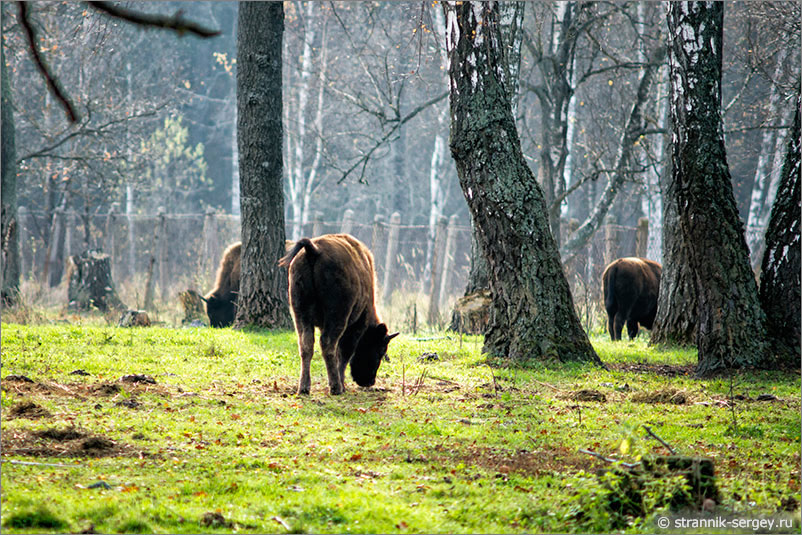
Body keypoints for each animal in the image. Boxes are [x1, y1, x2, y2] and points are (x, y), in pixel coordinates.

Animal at [278, 236, 396, 398]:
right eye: (380, 350)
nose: (369, 381)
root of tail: (313, 250)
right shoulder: (356, 326)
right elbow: (344, 352)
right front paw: (342, 385)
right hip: (337, 316)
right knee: (328, 344)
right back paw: (336, 387)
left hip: (300, 313)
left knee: (306, 345)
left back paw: (304, 388)